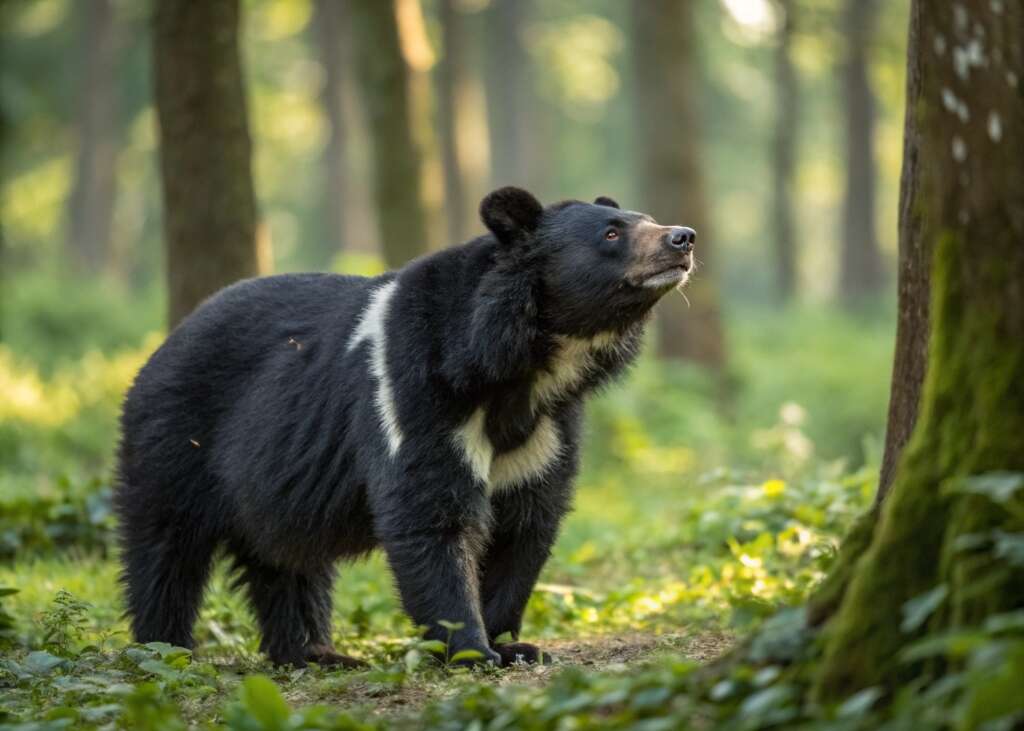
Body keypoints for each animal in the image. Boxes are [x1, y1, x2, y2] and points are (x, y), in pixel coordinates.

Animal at [117, 188, 696, 667]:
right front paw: (473, 651)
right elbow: (431, 512)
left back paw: (313, 653)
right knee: (167, 547)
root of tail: (164, 343)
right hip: (177, 434)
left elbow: (525, 522)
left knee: (287, 558)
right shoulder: (414, 389)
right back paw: (165, 648)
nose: (683, 238)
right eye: (612, 233)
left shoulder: (547, 427)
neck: (523, 368)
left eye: (645, 219)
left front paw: (515, 645)